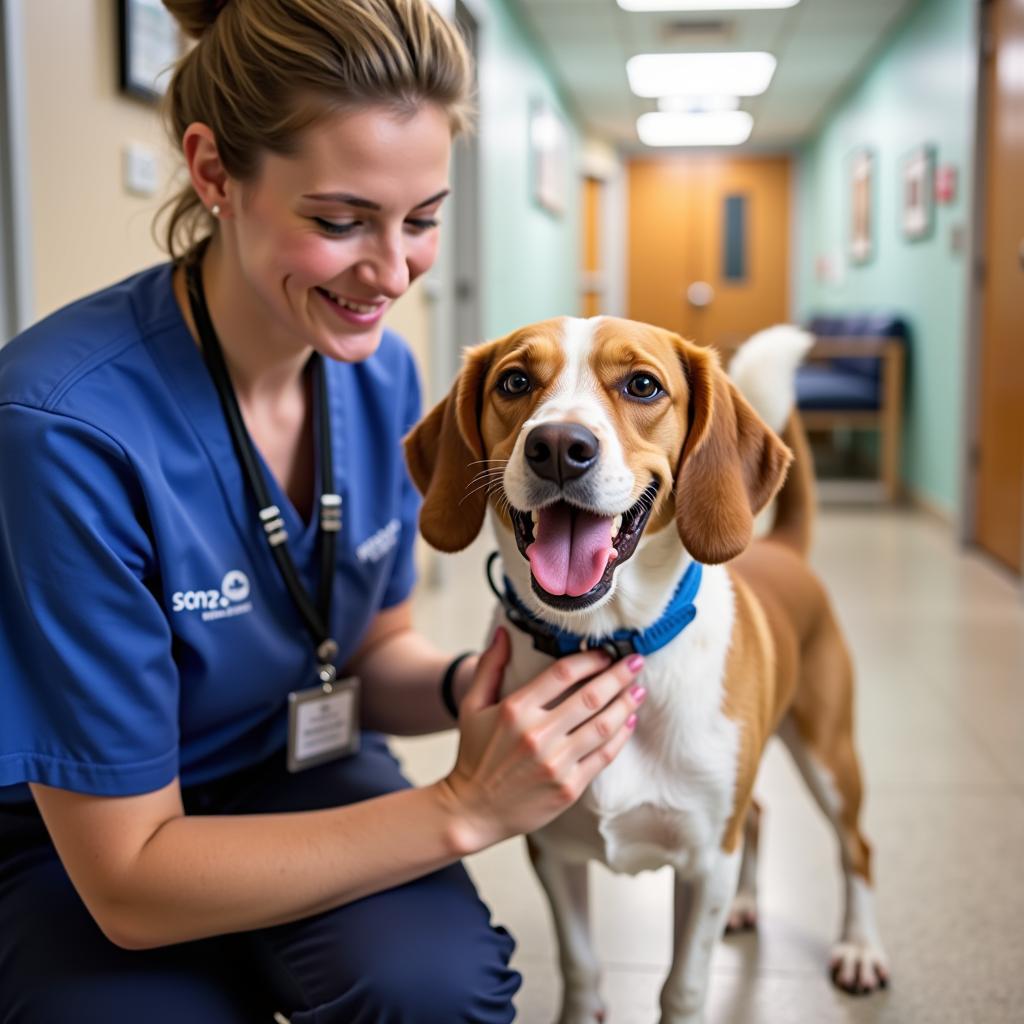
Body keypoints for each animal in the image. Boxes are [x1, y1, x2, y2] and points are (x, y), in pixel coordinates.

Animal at [405, 315, 888, 1019]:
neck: (609, 642)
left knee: (856, 847)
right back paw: (749, 904)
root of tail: (780, 547)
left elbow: (683, 985)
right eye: (515, 382)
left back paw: (860, 948)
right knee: (759, 815)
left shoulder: (705, 860)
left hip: (829, 754)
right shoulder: (551, 847)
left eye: (642, 385)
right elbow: (581, 965)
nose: (558, 445)